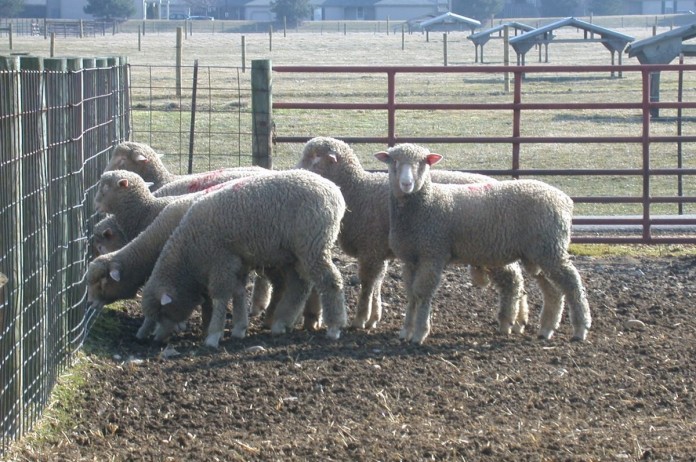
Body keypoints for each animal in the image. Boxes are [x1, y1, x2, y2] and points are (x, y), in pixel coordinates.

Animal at [140, 169, 347, 348]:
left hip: (313, 245)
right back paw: (282, 323)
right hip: (296, 254)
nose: (153, 339)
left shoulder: (221, 261)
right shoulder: (237, 262)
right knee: (300, 285)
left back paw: (334, 327)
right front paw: (239, 328)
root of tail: (334, 190)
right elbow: (238, 291)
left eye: (161, 312)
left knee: (330, 281)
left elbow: (221, 296)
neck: (188, 251)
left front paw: (213, 336)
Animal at [296, 136, 528, 332]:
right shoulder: (378, 251)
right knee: (518, 279)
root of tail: (497, 182)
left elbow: (367, 284)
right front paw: (373, 318)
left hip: (492, 246)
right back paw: (520, 320)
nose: (295, 172)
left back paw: (508, 321)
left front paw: (360, 319)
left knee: (512, 280)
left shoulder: (370, 248)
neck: (358, 189)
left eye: (315, 158)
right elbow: (378, 283)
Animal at [375, 143, 591, 344]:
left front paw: (419, 333)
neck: (425, 203)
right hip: (538, 254)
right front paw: (406, 331)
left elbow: (422, 293)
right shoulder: (410, 258)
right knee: (553, 290)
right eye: (393, 161)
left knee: (572, 284)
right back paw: (546, 329)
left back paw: (580, 329)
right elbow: (411, 294)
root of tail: (565, 200)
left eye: (423, 162)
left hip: (551, 248)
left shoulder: (432, 254)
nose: (406, 183)